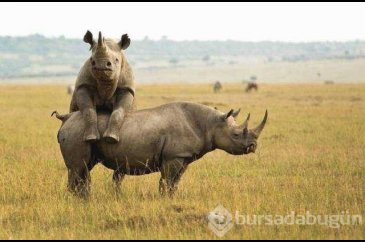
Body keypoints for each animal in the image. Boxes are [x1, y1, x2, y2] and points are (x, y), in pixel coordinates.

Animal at [52, 101, 268, 198]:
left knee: (83, 168)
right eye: (237, 135)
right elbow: (167, 181)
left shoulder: (183, 157)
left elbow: (174, 182)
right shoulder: (174, 156)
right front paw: (164, 199)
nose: (253, 146)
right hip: (78, 132)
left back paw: (83, 199)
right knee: (78, 168)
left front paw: (171, 198)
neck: (210, 123)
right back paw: (77, 200)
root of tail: (66, 118)